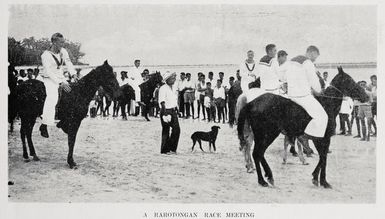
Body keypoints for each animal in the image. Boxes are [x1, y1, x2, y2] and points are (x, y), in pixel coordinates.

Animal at [237, 66, 366, 188]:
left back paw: (266, 176)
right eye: (349, 80)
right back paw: (262, 179)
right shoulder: (322, 138)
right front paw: (323, 181)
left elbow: (321, 157)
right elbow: (323, 157)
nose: (365, 96)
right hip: (267, 134)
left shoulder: (318, 139)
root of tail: (251, 102)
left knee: (257, 153)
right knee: (256, 153)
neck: (326, 105)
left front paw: (315, 177)